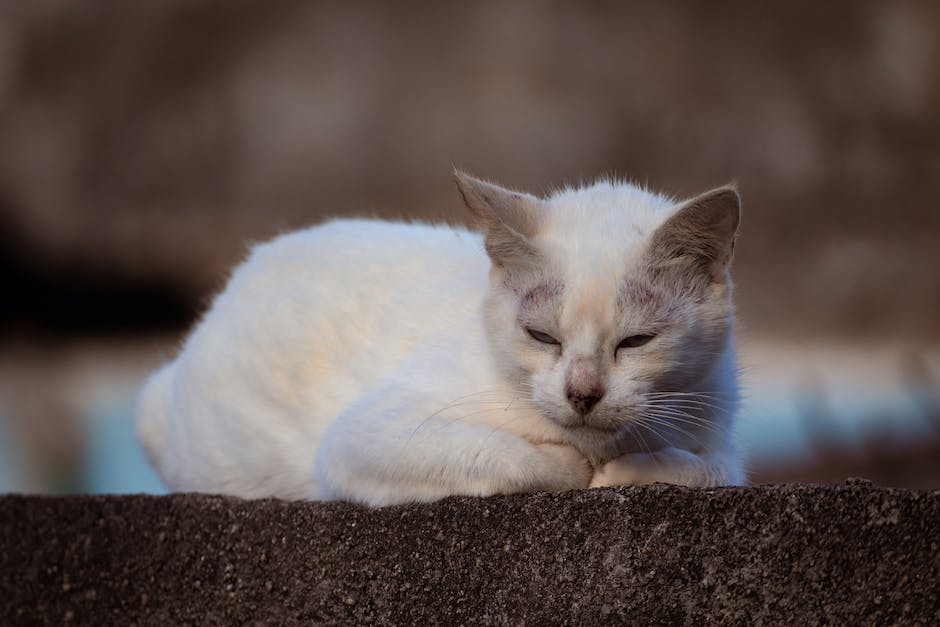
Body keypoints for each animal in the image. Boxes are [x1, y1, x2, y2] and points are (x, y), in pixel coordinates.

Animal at [136, 170, 744, 506]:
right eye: (542, 336)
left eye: (636, 341)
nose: (582, 393)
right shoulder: (362, 437)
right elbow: (512, 456)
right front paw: (578, 469)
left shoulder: (722, 444)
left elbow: (707, 468)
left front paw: (629, 470)